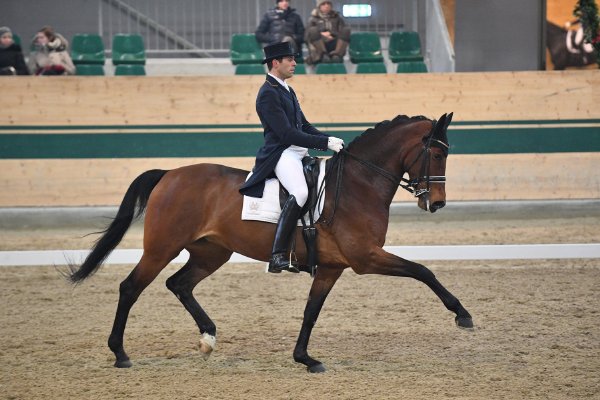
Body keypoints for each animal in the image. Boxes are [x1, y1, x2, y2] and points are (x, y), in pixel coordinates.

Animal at [68, 111, 474, 372]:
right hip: (161, 248)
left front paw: (305, 359)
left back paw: (208, 338)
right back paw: (121, 354)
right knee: (131, 288)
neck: (358, 185)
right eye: (438, 152)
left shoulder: (331, 267)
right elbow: (422, 270)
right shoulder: (365, 258)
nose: (436, 203)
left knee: (178, 284)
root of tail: (170, 174)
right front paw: (462, 315)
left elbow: (311, 312)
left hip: (212, 252)